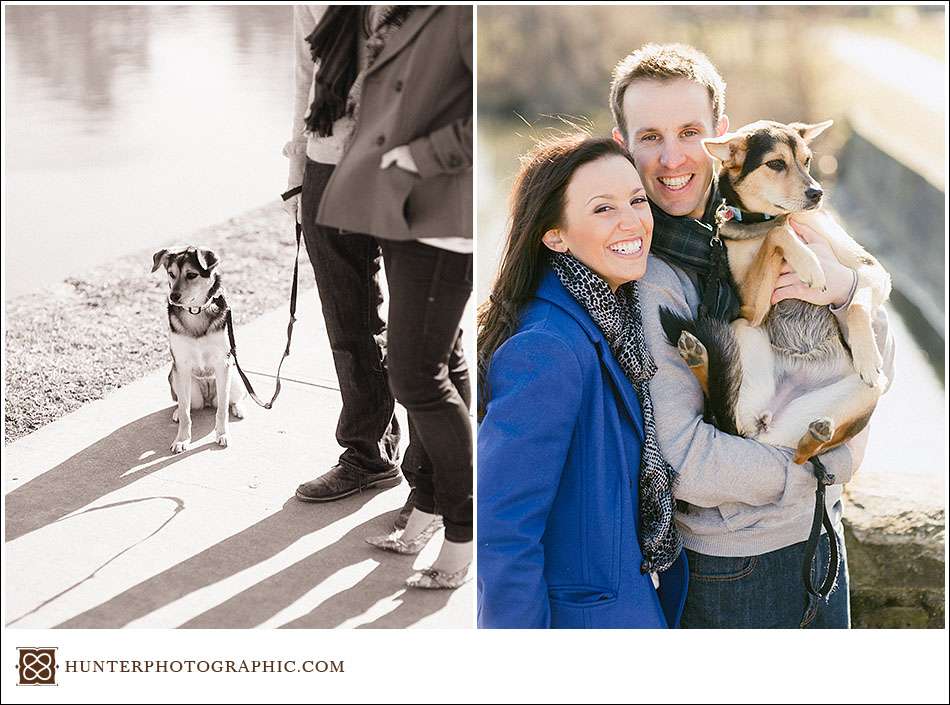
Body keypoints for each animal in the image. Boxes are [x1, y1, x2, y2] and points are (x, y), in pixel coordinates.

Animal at [660, 118, 892, 464]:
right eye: (776, 164)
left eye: (807, 161)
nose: (817, 193)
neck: (766, 218)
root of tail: (768, 428)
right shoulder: (751, 308)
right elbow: (779, 235)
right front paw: (809, 263)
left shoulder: (871, 270)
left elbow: (856, 304)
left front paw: (867, 356)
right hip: (743, 330)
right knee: (721, 400)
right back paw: (697, 356)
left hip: (869, 391)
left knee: (803, 456)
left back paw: (816, 434)